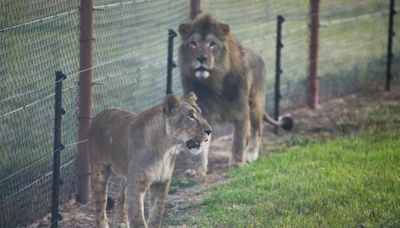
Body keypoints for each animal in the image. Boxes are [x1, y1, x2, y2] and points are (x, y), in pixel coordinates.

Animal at [88, 92, 212, 228]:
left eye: (200, 113)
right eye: (190, 116)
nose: (210, 130)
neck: (165, 149)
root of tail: (100, 114)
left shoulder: (161, 184)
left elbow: (156, 215)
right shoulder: (135, 188)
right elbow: (138, 220)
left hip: (127, 175)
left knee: (120, 195)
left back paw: (122, 222)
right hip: (99, 172)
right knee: (100, 208)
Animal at [178, 12, 290, 175]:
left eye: (212, 43)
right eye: (194, 43)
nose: (201, 58)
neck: (213, 82)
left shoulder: (241, 110)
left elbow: (237, 140)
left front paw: (237, 163)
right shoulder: (202, 113)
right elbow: (201, 144)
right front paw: (198, 170)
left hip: (256, 103)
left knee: (257, 129)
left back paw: (250, 155)